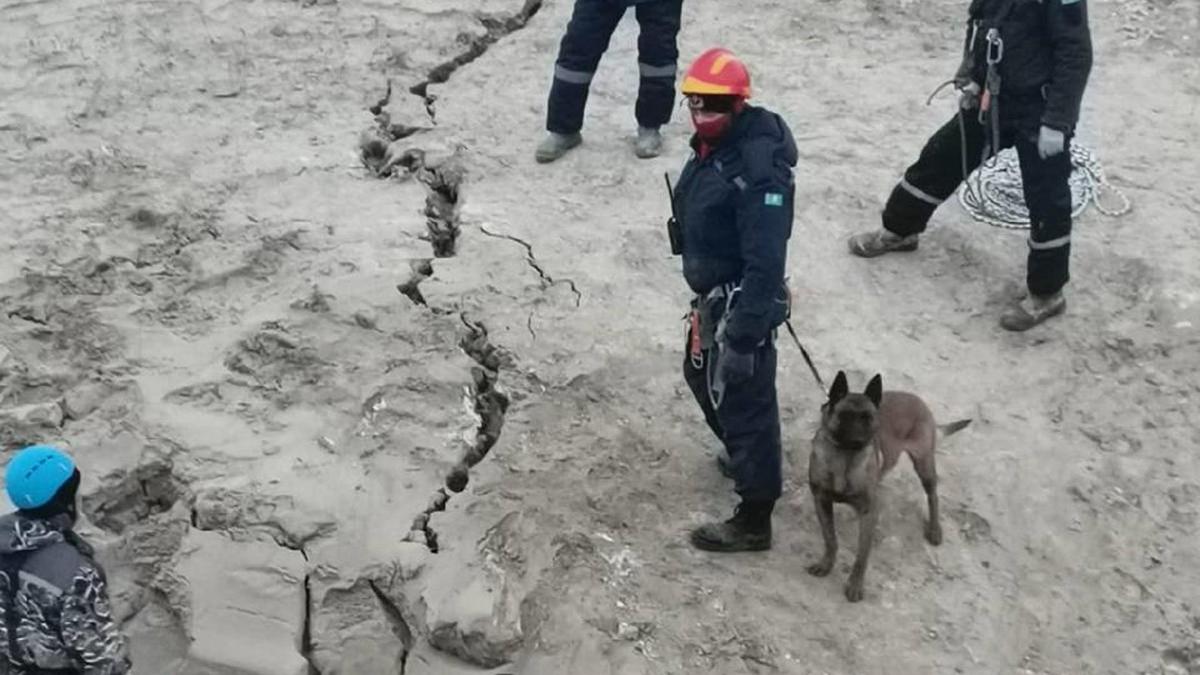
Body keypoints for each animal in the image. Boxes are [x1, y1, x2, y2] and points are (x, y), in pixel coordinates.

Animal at [801, 372, 969, 598]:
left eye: (868, 418)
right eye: (845, 416)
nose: (860, 439)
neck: (844, 458)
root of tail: (918, 401)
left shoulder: (869, 512)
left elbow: (862, 555)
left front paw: (855, 585)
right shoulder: (822, 502)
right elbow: (830, 539)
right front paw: (826, 564)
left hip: (924, 464)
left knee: (933, 495)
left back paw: (934, 529)